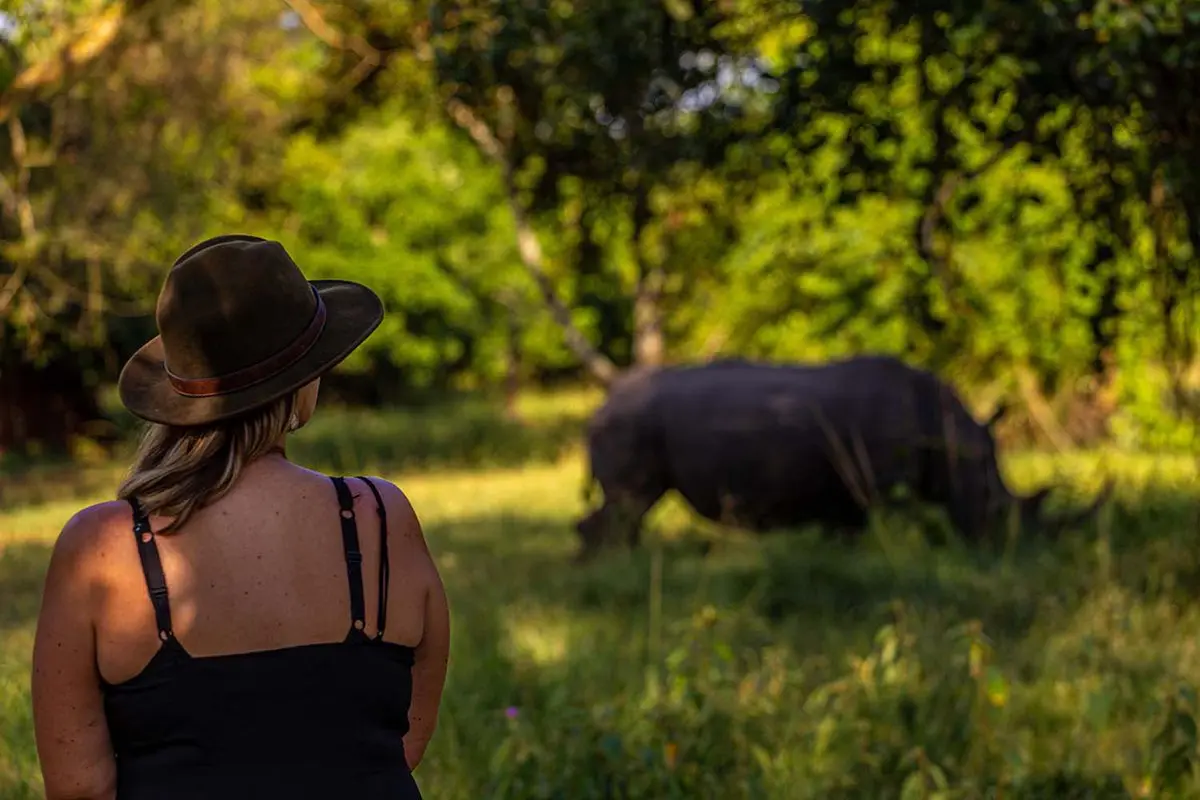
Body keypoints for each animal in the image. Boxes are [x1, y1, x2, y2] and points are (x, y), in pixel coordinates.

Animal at [574, 355, 1113, 561]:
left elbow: (848, 533)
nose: (1016, 552)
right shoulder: (884, 483)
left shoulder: (849, 494)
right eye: (996, 508)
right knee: (629, 503)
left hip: (629, 423)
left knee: (627, 509)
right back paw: (616, 566)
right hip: (629, 424)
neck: (949, 439)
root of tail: (599, 406)